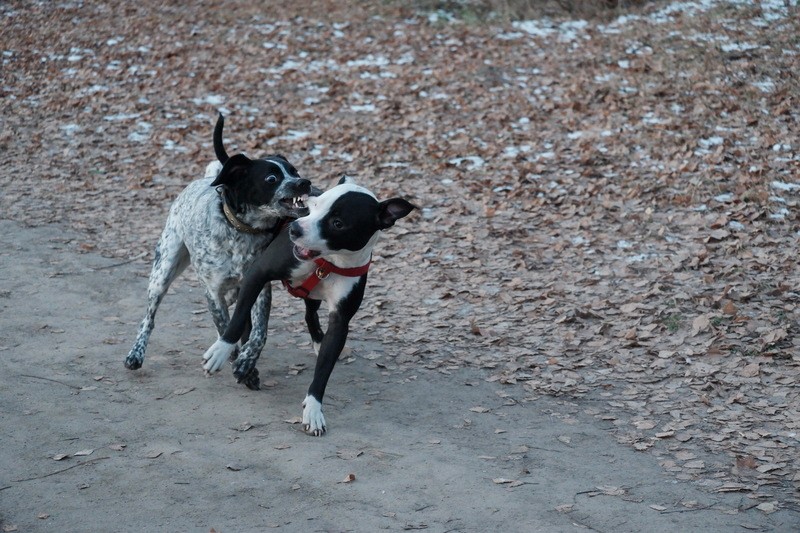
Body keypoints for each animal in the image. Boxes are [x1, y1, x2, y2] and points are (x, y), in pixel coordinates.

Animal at [125, 114, 312, 386]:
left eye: (294, 171)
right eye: (271, 179)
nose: (304, 182)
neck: (242, 231)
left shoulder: (261, 287)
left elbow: (259, 333)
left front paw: (246, 363)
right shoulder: (212, 291)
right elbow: (225, 327)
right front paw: (235, 359)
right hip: (163, 272)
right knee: (148, 318)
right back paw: (136, 353)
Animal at [202, 177, 418, 434]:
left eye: (337, 223)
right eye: (312, 206)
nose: (295, 229)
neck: (329, 262)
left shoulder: (340, 322)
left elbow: (323, 369)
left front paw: (314, 410)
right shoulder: (257, 274)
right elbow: (236, 320)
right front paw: (221, 350)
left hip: (313, 299)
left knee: (309, 315)